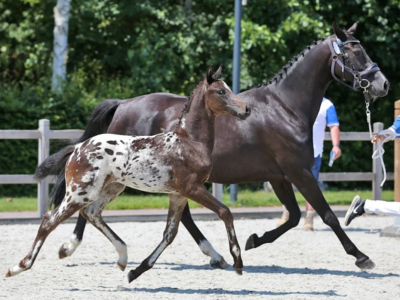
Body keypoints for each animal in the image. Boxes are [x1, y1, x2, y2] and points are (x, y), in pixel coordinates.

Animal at [5, 67, 250, 282]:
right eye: (221, 91)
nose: (246, 109)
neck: (189, 141)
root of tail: (77, 148)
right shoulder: (192, 188)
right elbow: (225, 212)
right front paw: (237, 262)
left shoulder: (178, 194)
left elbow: (169, 234)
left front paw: (137, 271)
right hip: (80, 192)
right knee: (50, 219)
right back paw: (19, 267)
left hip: (112, 188)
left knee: (92, 213)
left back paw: (123, 257)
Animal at [35, 21, 388, 270]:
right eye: (355, 53)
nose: (382, 85)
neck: (285, 107)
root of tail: (122, 105)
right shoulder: (298, 171)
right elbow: (327, 215)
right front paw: (361, 257)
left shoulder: (279, 176)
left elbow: (292, 217)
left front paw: (254, 240)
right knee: (88, 207)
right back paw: (69, 247)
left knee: (181, 217)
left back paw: (214, 255)